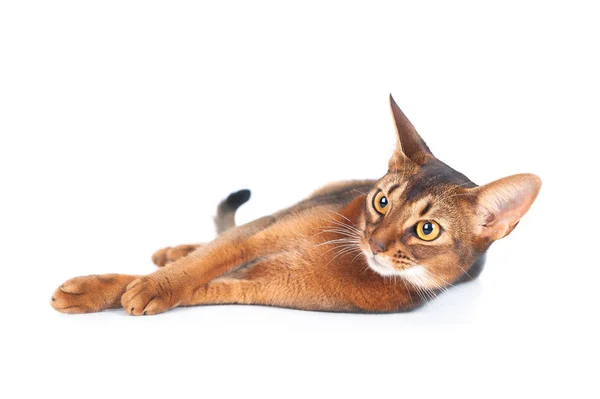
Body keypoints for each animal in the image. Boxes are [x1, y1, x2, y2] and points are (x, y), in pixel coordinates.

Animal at [50, 96, 540, 316]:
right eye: (382, 201)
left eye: (427, 230)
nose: (377, 244)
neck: (346, 254)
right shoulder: (263, 234)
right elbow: (209, 258)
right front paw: (117, 286)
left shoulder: (266, 286)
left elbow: (210, 283)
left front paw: (142, 291)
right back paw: (173, 251)